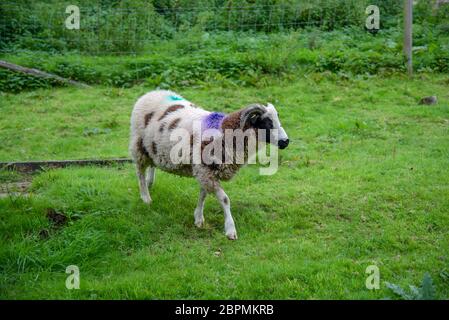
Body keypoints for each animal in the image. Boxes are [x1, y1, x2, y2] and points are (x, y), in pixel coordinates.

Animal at [130, 89, 290, 239]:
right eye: (267, 122)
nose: (285, 141)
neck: (225, 133)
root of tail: (152, 92)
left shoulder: (205, 171)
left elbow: (203, 195)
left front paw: (198, 218)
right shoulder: (205, 171)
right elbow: (225, 199)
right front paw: (230, 230)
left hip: (153, 148)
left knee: (152, 165)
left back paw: (150, 182)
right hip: (139, 145)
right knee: (139, 171)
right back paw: (146, 197)